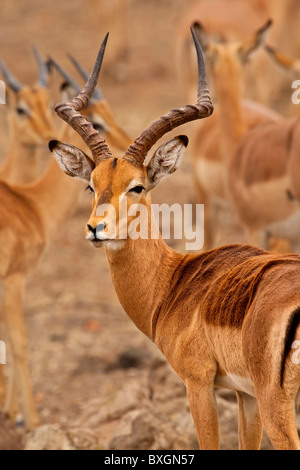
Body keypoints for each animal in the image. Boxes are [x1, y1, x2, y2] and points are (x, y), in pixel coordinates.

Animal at [51, 31, 300, 450]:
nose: (96, 228)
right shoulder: (244, 395)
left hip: (277, 404)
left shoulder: (199, 383)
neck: (174, 283)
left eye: (136, 186)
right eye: (92, 185)